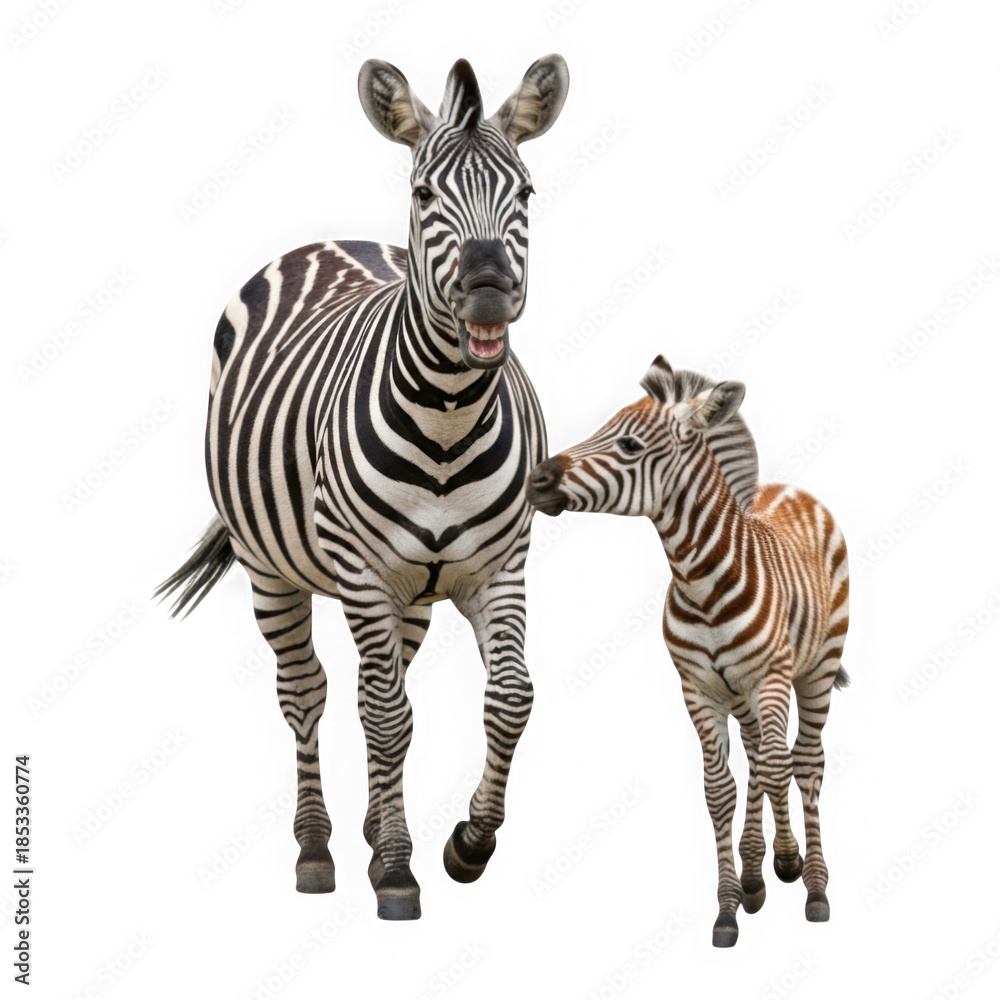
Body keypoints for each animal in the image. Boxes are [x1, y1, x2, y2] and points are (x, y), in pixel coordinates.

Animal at [157, 55, 569, 919]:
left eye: (525, 192)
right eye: (424, 194)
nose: (489, 287)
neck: (449, 415)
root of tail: (328, 242)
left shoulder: (499, 568)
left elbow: (507, 698)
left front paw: (465, 845)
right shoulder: (363, 571)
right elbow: (383, 713)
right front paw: (399, 872)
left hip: (411, 592)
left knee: (378, 692)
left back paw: (379, 832)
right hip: (272, 568)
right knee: (307, 692)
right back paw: (317, 850)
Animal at [525, 356, 850, 947]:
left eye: (629, 444)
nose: (536, 480)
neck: (701, 580)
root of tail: (791, 487)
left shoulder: (770, 678)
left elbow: (777, 769)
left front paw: (789, 872)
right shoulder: (698, 688)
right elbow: (720, 788)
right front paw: (730, 906)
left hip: (816, 668)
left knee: (805, 761)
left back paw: (812, 881)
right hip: (744, 693)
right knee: (761, 756)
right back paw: (759, 872)